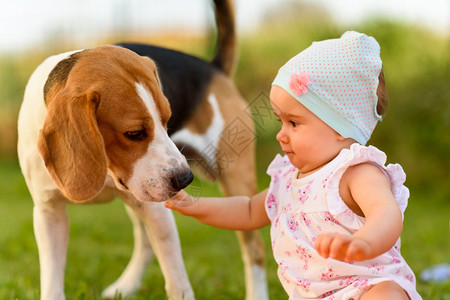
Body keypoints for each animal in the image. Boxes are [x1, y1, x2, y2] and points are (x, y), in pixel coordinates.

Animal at [16, 0, 268, 300]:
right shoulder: (48, 213)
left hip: (237, 185)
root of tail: (212, 67)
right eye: (134, 133)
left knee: (254, 251)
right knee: (145, 242)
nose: (185, 179)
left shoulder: (159, 210)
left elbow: (177, 281)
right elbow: (52, 280)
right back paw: (126, 286)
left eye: (168, 120)